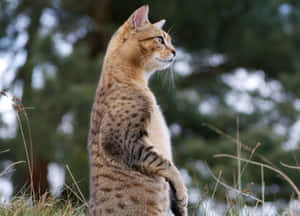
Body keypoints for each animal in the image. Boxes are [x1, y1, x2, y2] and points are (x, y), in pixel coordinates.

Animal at [87, 5, 188, 216]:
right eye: (160, 39)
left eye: (170, 40)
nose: (175, 51)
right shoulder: (125, 140)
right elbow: (166, 164)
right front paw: (182, 192)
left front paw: (179, 203)